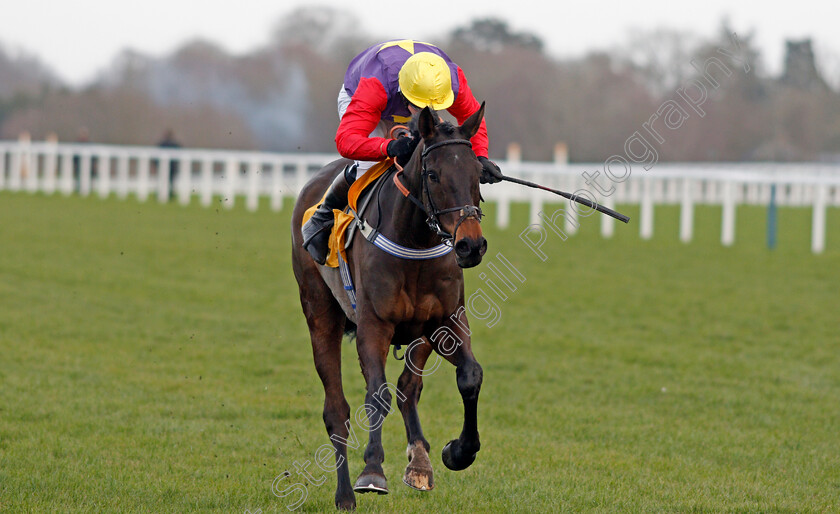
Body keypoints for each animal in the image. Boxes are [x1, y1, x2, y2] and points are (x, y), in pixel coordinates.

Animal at [290, 104, 488, 508]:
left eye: (477, 173)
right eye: (433, 174)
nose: (470, 245)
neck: (415, 240)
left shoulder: (445, 321)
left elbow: (469, 376)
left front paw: (457, 451)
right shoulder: (374, 325)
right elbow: (376, 395)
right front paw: (372, 471)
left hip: (418, 335)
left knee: (408, 387)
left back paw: (420, 461)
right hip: (320, 313)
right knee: (337, 409)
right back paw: (345, 494)